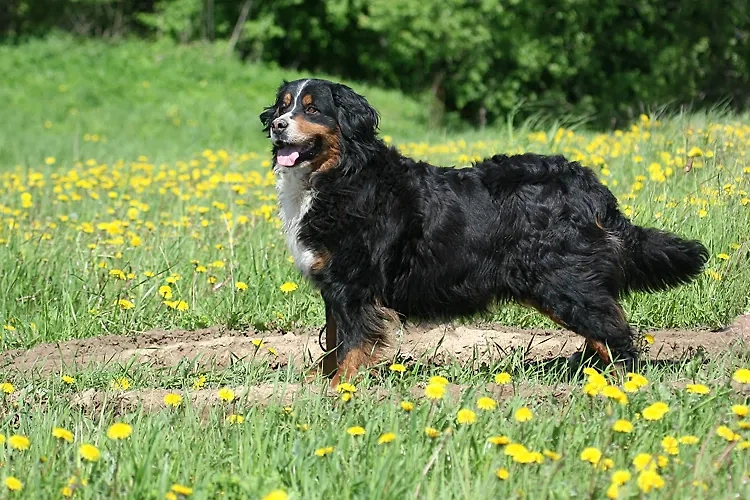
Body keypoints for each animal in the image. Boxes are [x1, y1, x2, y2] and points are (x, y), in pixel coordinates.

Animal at [260, 78, 712, 382]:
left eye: (313, 109)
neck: (338, 177)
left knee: (613, 331)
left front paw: (340, 392)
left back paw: (618, 385)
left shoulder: (353, 284)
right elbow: (334, 341)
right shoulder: (334, 285)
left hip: (562, 279)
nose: (278, 124)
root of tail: (589, 184)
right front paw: (317, 386)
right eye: (284, 104)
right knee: (602, 326)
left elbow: (351, 345)